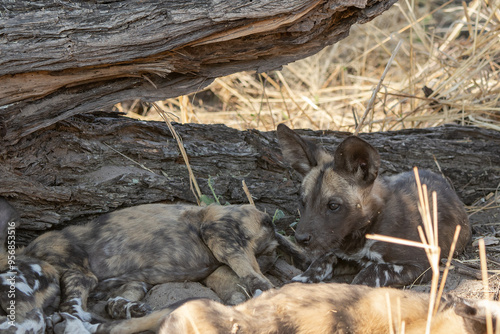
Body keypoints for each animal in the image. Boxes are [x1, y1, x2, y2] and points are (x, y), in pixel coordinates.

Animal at [0, 202, 304, 332]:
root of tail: (264, 215)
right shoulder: (133, 283)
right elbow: (114, 303)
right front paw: (132, 310)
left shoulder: (79, 275)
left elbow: (73, 309)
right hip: (221, 272)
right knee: (244, 291)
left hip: (217, 233)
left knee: (261, 283)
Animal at [276, 125, 470, 288]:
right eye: (303, 202)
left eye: (333, 205)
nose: (300, 239)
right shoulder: (345, 256)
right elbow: (324, 259)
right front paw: (303, 279)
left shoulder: (421, 265)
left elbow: (373, 270)